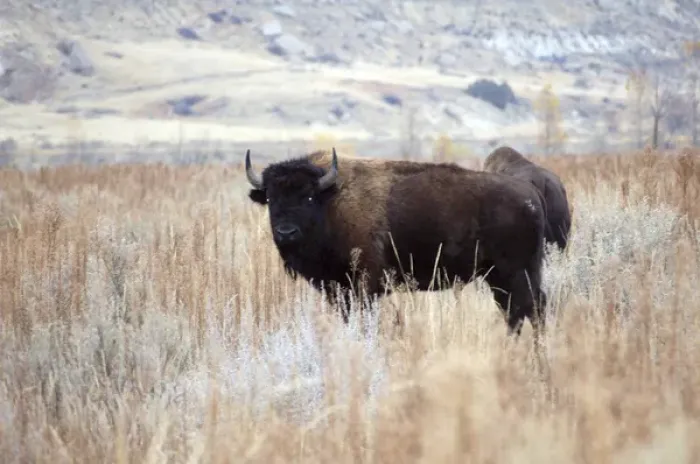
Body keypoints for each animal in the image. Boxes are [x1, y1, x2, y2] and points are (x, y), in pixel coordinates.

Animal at [245, 148, 549, 339]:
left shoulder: (365, 286)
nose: (286, 232)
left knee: (530, 308)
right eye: (271, 198)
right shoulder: (338, 290)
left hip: (514, 273)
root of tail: (530, 196)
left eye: (308, 197)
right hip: (499, 276)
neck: (331, 202)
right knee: (521, 310)